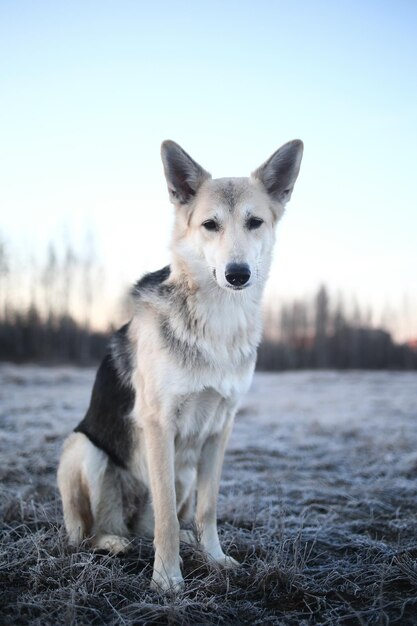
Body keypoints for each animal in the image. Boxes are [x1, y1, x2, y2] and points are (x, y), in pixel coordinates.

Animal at [56, 138, 302, 588]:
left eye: (255, 222)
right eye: (210, 225)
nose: (237, 274)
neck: (218, 320)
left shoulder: (222, 426)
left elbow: (207, 508)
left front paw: (215, 558)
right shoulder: (159, 424)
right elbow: (167, 516)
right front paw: (168, 579)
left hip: (183, 471)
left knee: (149, 524)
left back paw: (182, 541)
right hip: (84, 450)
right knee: (92, 532)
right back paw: (113, 542)